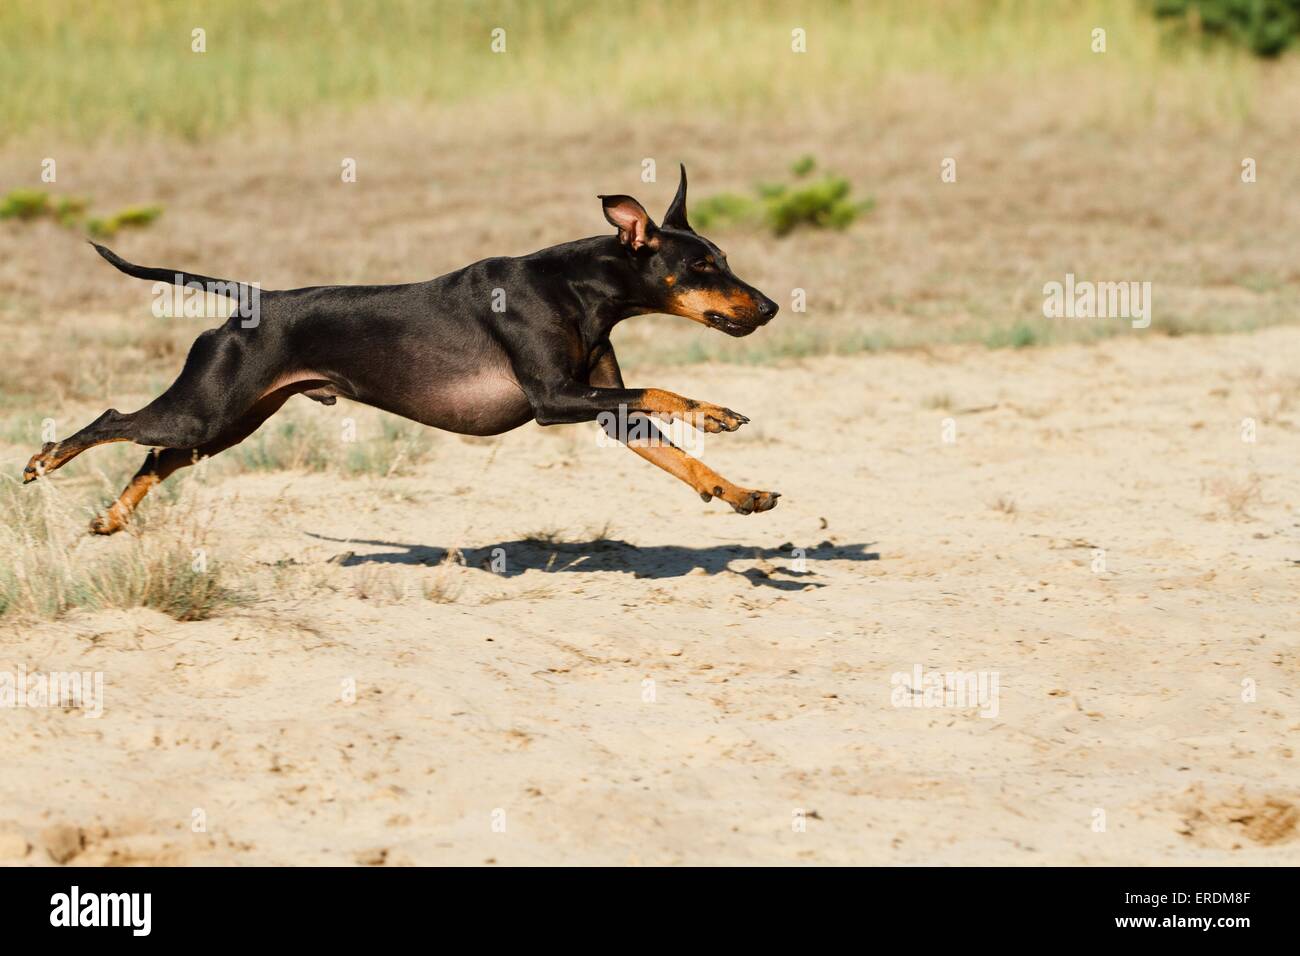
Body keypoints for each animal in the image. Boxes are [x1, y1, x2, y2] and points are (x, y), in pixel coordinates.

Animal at [22, 167, 780, 535]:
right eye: (702, 266)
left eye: (723, 259)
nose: (770, 307)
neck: (575, 285)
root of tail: (253, 300)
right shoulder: (554, 399)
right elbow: (665, 391)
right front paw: (716, 412)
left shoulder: (601, 408)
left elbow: (678, 457)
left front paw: (739, 492)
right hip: (204, 410)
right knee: (115, 421)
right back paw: (42, 461)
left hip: (227, 423)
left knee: (154, 457)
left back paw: (110, 519)